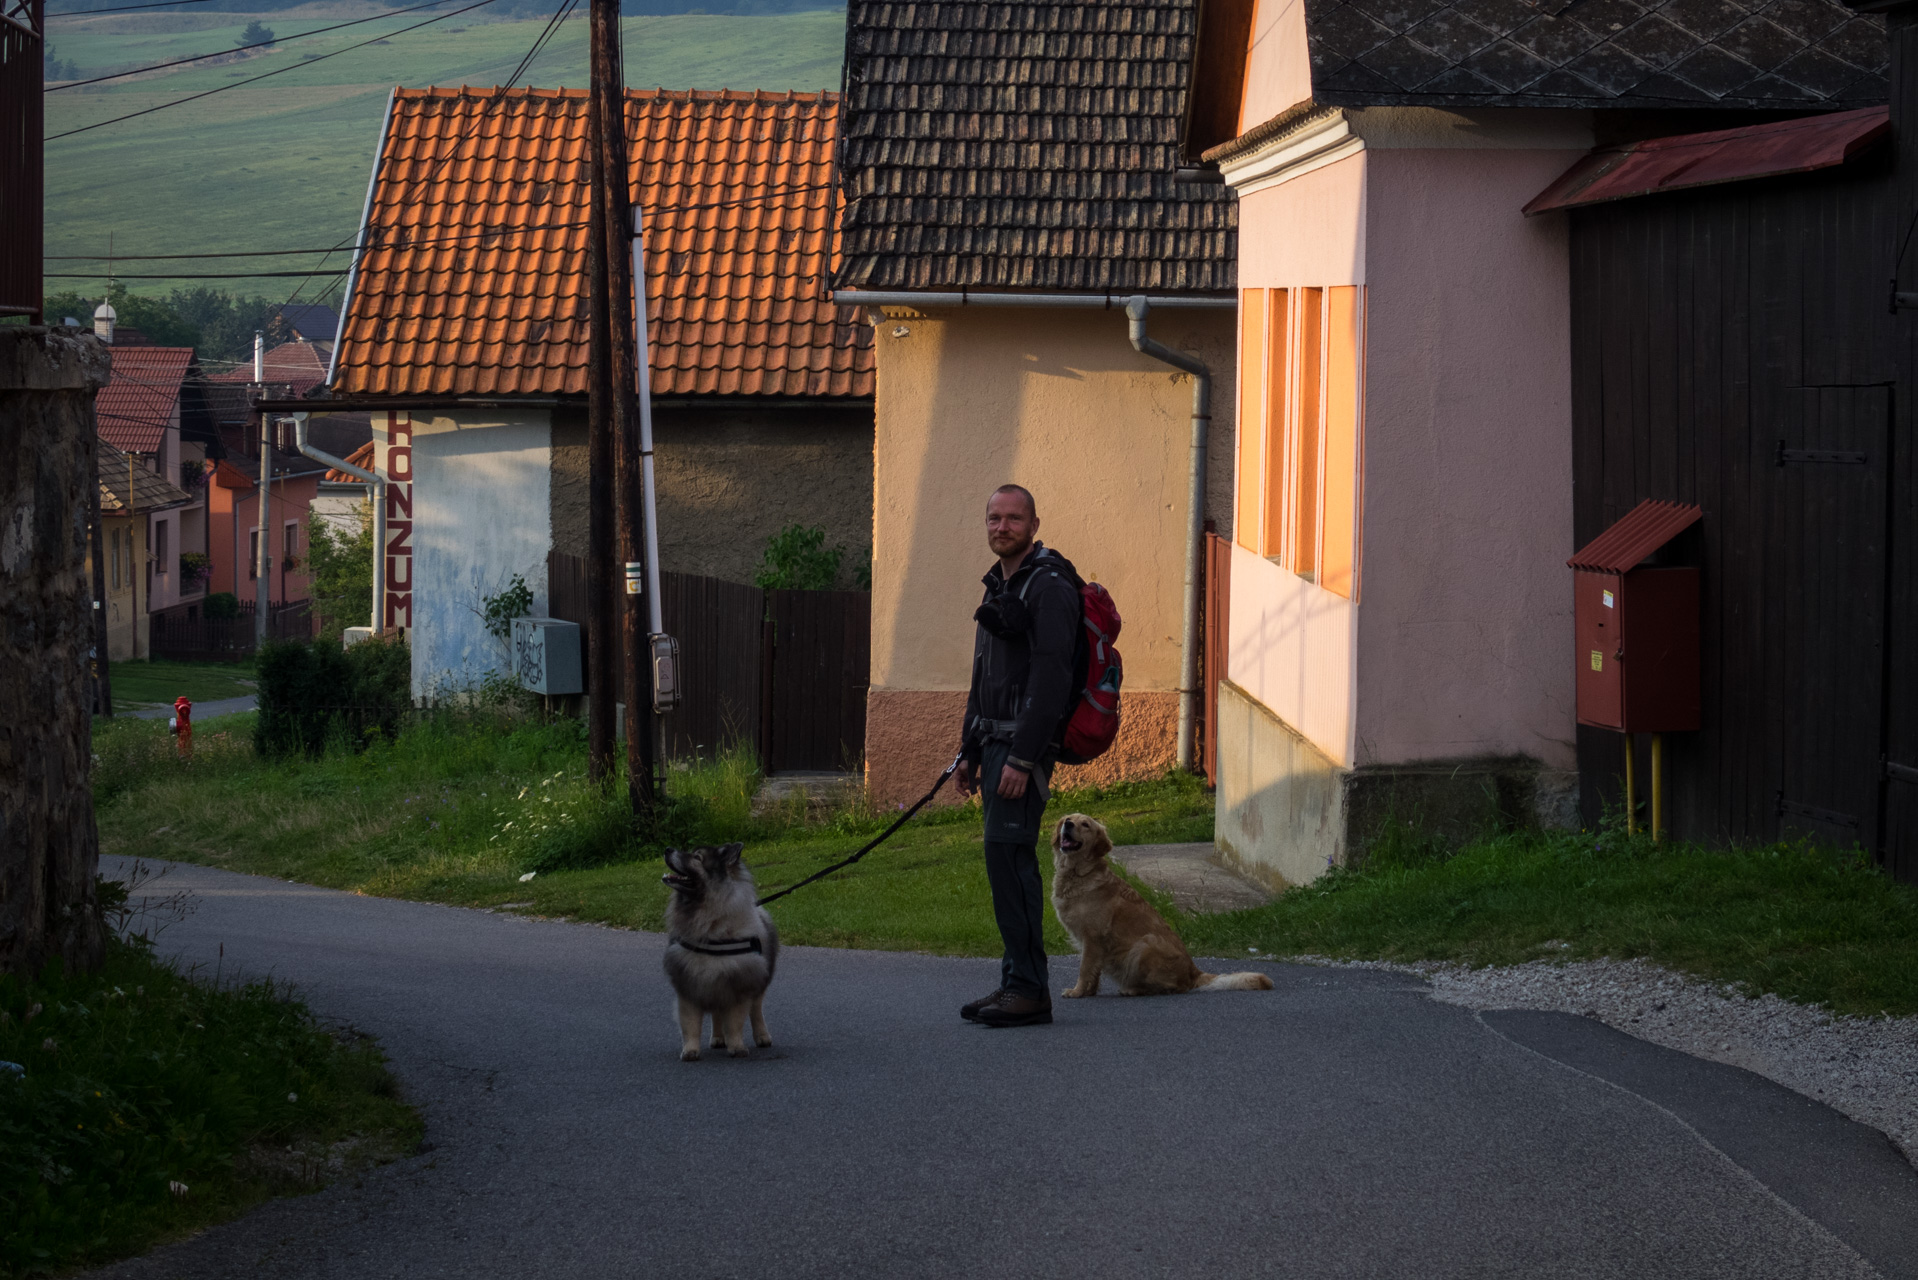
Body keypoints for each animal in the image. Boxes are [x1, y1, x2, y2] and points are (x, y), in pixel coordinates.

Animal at [659, 844, 778, 1066]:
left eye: (697, 857)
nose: (668, 849)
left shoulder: (739, 987)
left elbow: (735, 1023)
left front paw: (737, 1047)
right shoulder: (690, 986)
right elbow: (691, 1025)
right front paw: (690, 1051)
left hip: (757, 986)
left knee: (756, 1011)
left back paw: (762, 1037)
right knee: (716, 1014)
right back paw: (717, 1038)